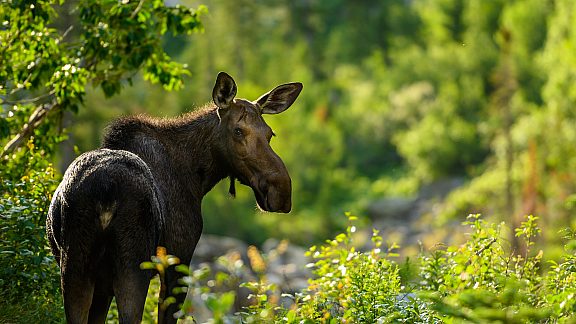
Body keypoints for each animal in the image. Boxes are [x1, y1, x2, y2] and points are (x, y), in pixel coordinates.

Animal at [47, 72, 304, 322]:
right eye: (238, 130)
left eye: (270, 133)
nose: (281, 191)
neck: (197, 178)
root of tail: (105, 191)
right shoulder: (178, 259)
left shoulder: (102, 283)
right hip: (131, 266)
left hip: (75, 266)